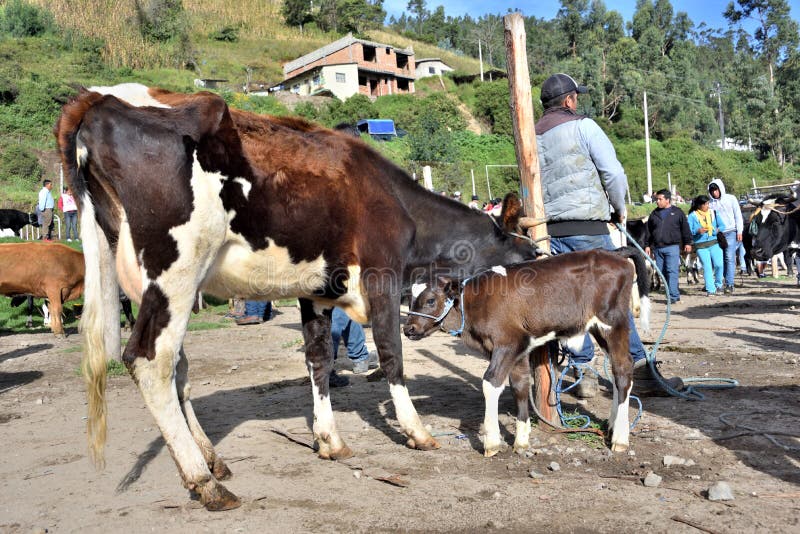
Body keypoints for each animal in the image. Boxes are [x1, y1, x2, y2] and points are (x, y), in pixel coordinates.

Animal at [53, 82, 536, 510]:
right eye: (529, 254)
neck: (398, 204)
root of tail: (97, 99)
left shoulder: (318, 289)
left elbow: (318, 360)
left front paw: (330, 440)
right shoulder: (381, 277)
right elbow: (392, 354)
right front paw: (417, 432)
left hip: (142, 277)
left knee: (178, 368)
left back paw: (214, 461)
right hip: (176, 268)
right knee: (151, 360)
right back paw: (205, 482)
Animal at [406, 249, 648, 458]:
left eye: (430, 300)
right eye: (409, 299)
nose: (408, 329)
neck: (476, 302)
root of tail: (613, 253)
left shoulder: (508, 343)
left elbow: (491, 382)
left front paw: (491, 442)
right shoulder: (519, 348)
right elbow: (520, 385)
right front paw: (521, 441)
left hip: (613, 322)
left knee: (623, 368)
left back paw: (620, 437)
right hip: (599, 328)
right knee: (616, 372)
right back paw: (612, 424)